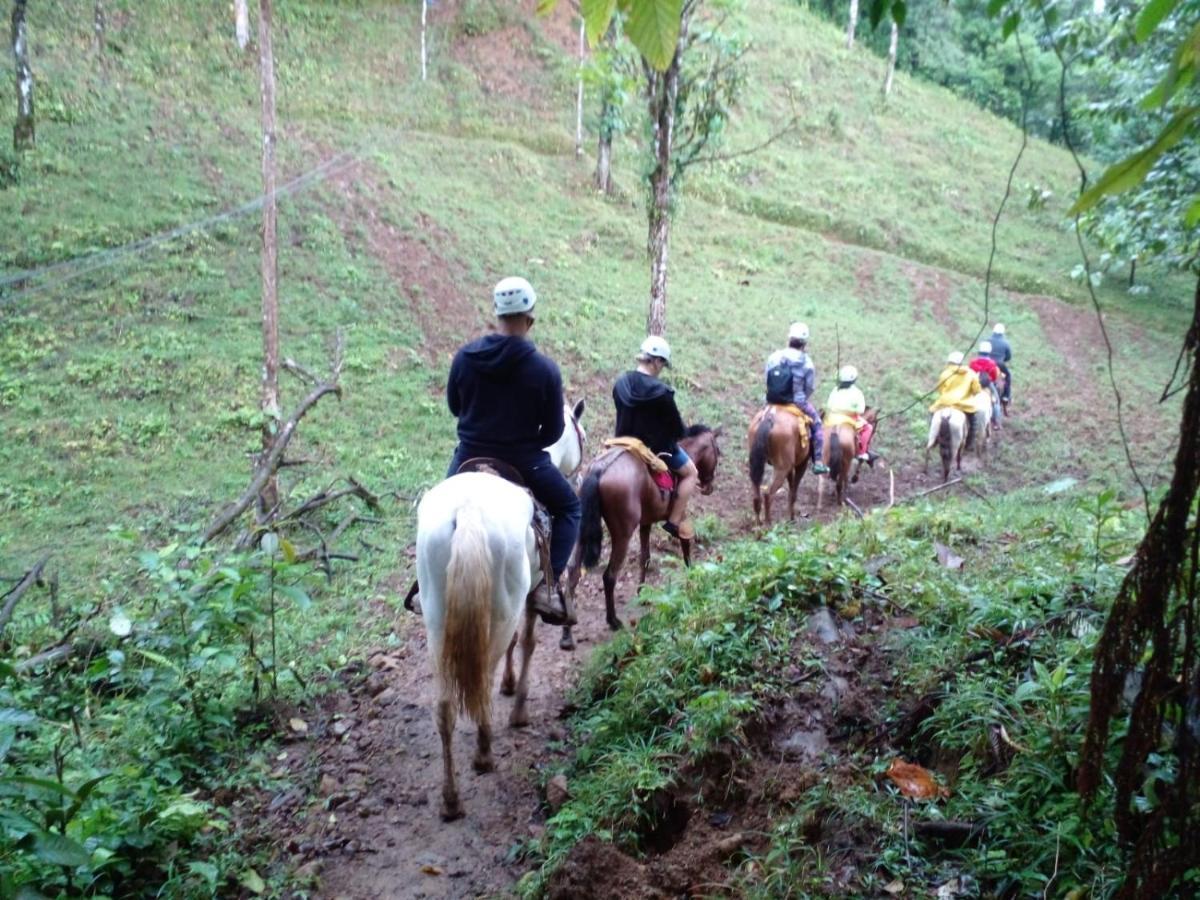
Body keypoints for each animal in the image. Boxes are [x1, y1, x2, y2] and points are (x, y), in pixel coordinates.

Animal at [415, 475, 542, 820]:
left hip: (437, 624)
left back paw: (451, 800)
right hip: (502, 611)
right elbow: (527, 641)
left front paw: (510, 685)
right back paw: (484, 754)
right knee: (484, 681)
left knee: (445, 708)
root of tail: (468, 510)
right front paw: (519, 708)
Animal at [561, 427, 720, 652]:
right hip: (623, 534)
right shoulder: (680, 517)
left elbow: (645, 557)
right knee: (609, 576)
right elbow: (685, 544)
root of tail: (599, 469)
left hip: (582, 531)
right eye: (717, 451)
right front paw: (692, 576)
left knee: (573, 573)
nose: (708, 487)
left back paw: (567, 634)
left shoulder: (646, 523)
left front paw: (642, 593)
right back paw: (613, 621)